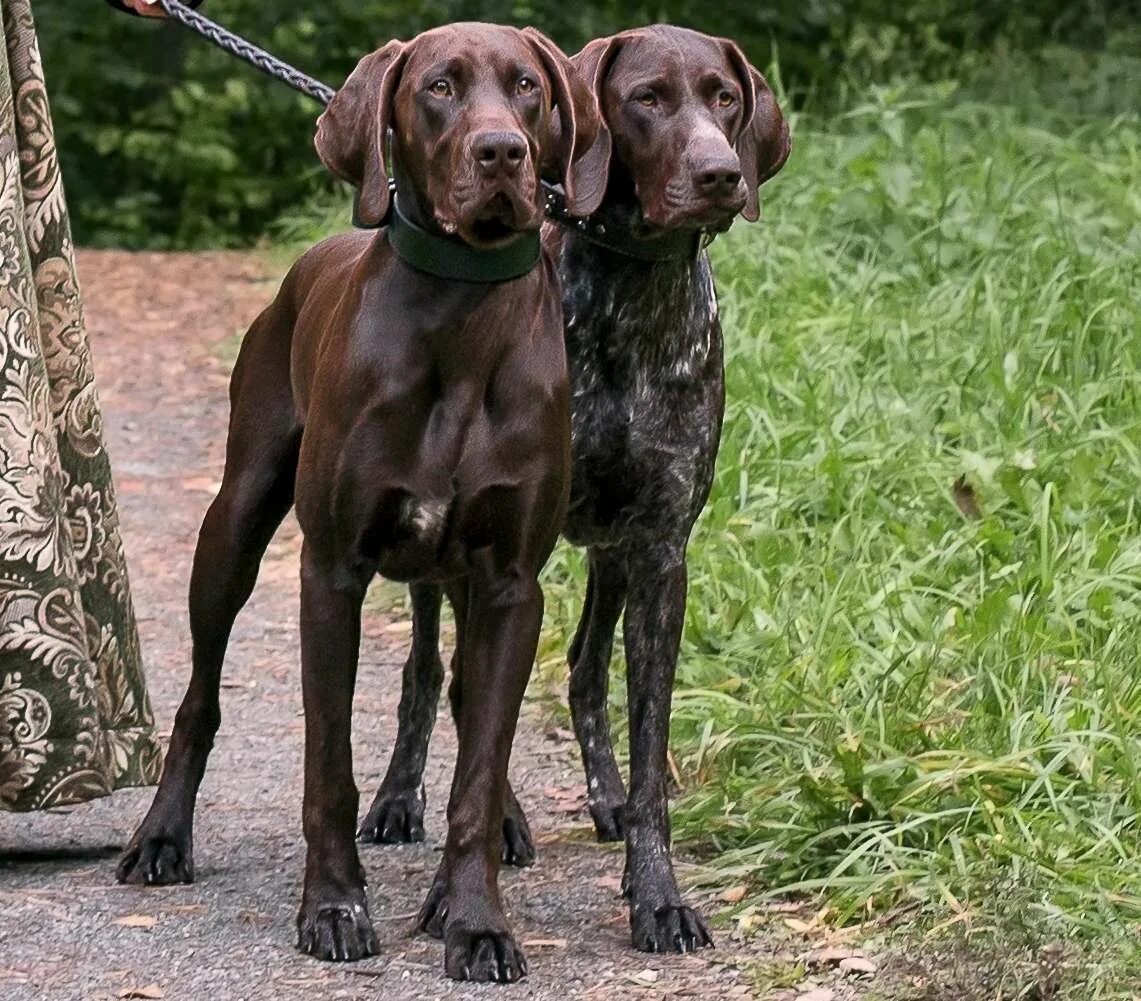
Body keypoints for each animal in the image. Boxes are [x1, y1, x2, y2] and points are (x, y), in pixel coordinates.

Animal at [118, 23, 607, 986]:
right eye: (439, 87)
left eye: (527, 86)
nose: (504, 152)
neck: (462, 313)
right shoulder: (331, 574)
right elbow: (328, 762)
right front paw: (334, 907)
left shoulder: (510, 582)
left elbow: (478, 764)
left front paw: (475, 920)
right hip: (232, 525)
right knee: (199, 697)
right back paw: (161, 837)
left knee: (468, 704)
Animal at [365, 25, 794, 954]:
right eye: (646, 99)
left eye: (724, 99)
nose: (721, 174)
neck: (633, 298)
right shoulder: (491, 541)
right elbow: (470, 699)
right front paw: (463, 873)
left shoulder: (661, 549)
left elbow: (647, 739)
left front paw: (655, 891)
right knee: (428, 671)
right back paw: (410, 800)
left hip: (609, 554)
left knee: (583, 669)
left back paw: (599, 796)